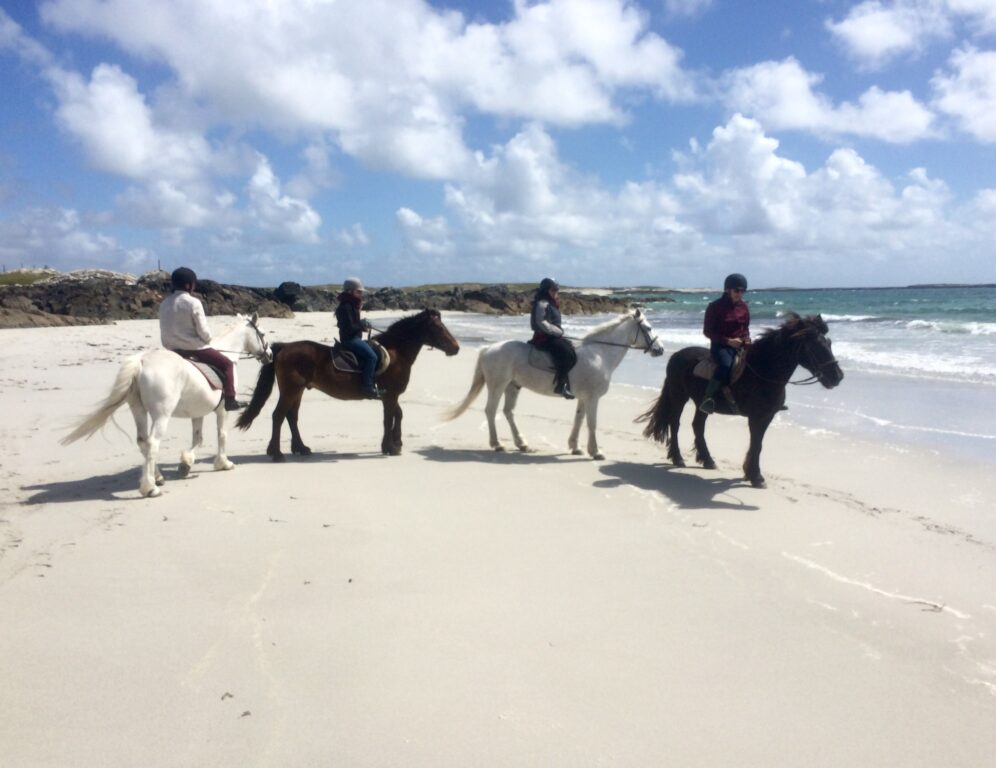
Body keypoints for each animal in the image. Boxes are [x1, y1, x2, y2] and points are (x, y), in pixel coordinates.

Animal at [61, 313, 271, 497]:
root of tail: (142, 361)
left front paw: (186, 463)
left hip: (138, 410)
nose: (268, 354)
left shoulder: (198, 412)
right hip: (161, 414)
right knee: (153, 443)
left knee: (143, 441)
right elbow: (222, 435)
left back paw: (158, 477)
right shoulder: (221, 411)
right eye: (262, 333)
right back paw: (150, 488)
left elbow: (198, 439)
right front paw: (223, 464)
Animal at [236, 308, 460, 459]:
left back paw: (301, 448)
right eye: (438, 327)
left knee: (291, 417)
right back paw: (276, 453)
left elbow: (397, 414)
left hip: (297, 391)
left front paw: (394, 443)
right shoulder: (390, 395)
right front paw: (391, 446)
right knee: (279, 416)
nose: (456, 348)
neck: (396, 352)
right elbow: (390, 417)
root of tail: (284, 347)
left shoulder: (389, 396)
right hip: (291, 390)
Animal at [445, 308, 664, 459]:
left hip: (512, 386)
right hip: (497, 385)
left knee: (508, 412)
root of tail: (488, 348)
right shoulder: (593, 398)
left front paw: (575, 447)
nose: (660, 350)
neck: (600, 354)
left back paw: (522, 444)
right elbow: (592, 423)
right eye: (648, 328)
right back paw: (497, 444)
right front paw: (596, 451)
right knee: (491, 411)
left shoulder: (584, 398)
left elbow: (579, 419)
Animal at [638, 313, 843, 488]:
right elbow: (756, 443)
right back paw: (678, 457)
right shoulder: (756, 416)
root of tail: (675, 356)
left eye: (829, 343)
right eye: (815, 347)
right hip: (678, 395)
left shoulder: (767, 416)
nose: (837, 377)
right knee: (675, 423)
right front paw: (756, 477)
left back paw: (707, 460)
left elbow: (757, 444)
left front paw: (749, 473)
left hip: (701, 403)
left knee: (698, 425)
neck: (763, 371)